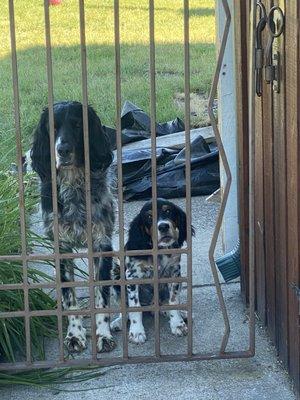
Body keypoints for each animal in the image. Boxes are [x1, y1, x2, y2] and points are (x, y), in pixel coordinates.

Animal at [31, 101, 116, 354]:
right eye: (52, 127)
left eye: (78, 125)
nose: (63, 150)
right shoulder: (62, 248)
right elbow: (69, 298)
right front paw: (75, 334)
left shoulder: (102, 243)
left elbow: (102, 295)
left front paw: (104, 334)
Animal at [111, 199, 193, 344]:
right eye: (149, 217)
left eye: (168, 211)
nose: (163, 227)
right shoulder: (132, 275)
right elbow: (135, 307)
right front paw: (137, 332)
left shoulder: (174, 272)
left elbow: (173, 300)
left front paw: (177, 324)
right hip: (116, 278)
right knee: (125, 309)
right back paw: (119, 322)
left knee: (164, 302)